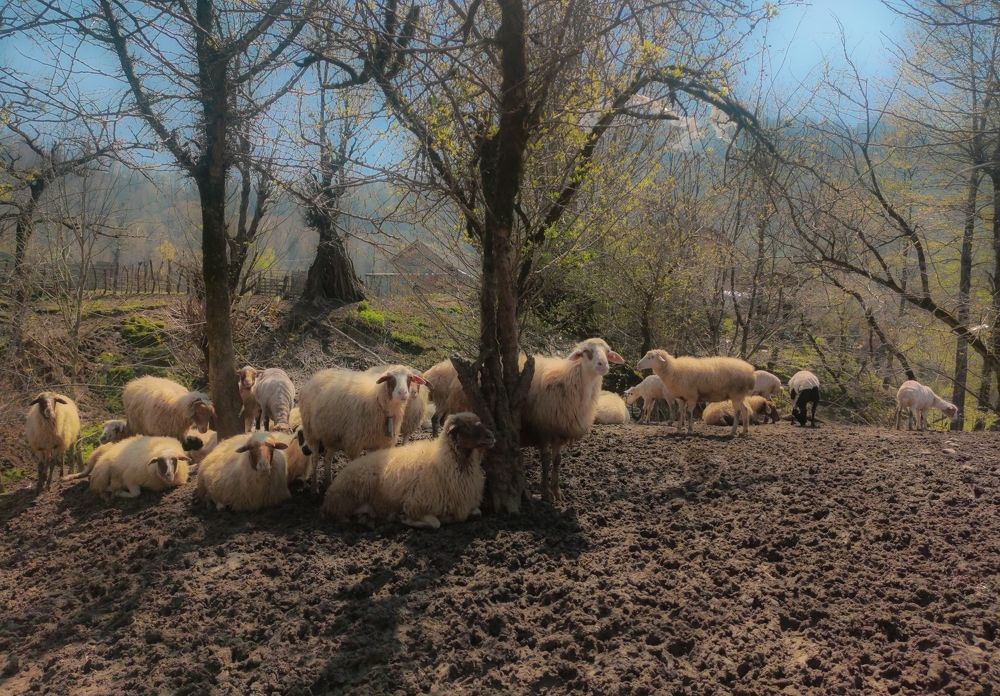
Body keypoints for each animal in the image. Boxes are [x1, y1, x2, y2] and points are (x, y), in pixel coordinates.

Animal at [299, 365, 428, 492]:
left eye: (410, 378)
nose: (403, 393)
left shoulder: (379, 444)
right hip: (311, 433)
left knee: (327, 459)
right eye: (390, 378)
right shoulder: (355, 444)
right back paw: (314, 487)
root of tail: (320, 374)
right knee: (315, 459)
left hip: (332, 436)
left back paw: (328, 483)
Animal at [323, 412, 494, 529]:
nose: (491, 436)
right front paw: (403, 518)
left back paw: (367, 519)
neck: (443, 462)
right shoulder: (415, 504)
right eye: (465, 427)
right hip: (354, 494)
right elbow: (435, 523)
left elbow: (477, 513)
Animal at [520, 337, 624, 502]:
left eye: (608, 351)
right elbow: (545, 460)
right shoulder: (543, 429)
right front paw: (546, 493)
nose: (603, 365)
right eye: (586, 351)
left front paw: (557, 492)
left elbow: (557, 460)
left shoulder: (559, 430)